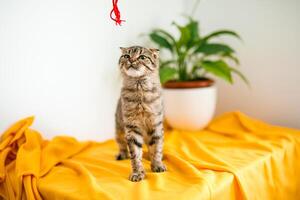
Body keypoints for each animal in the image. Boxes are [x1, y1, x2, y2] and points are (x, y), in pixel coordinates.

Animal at [115, 45, 166, 181]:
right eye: (126, 56)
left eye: (142, 57)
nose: (132, 60)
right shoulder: (132, 128)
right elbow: (135, 155)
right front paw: (137, 173)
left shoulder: (156, 125)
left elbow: (156, 148)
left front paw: (157, 165)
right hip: (119, 130)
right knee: (122, 145)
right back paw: (122, 154)